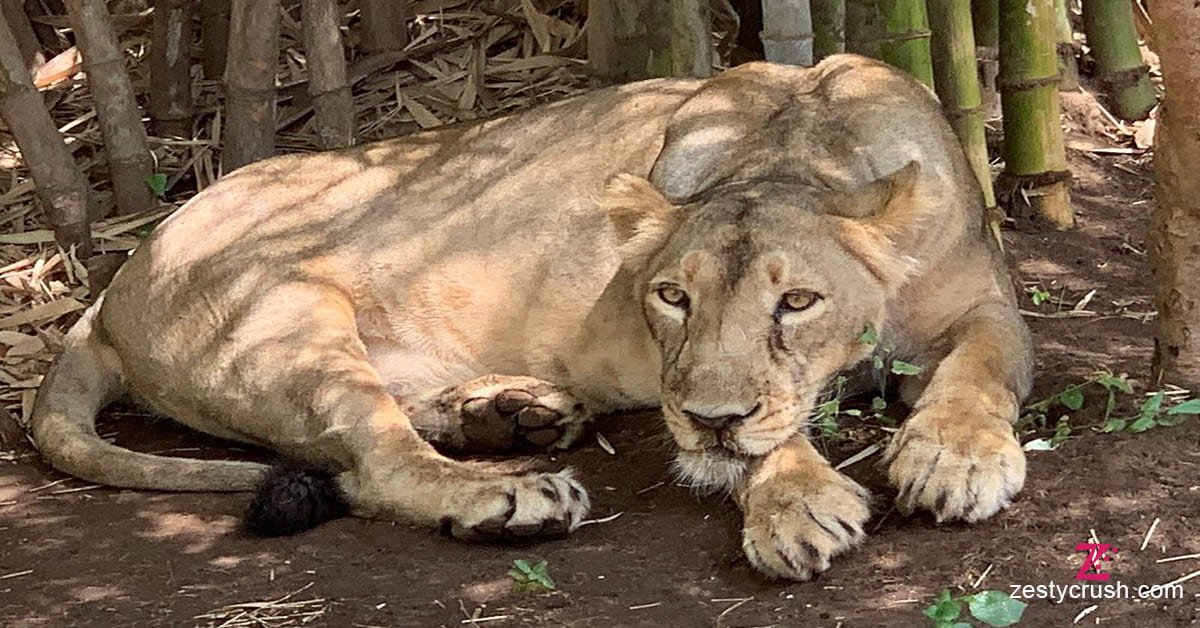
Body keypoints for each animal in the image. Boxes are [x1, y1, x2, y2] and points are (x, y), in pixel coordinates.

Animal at [30, 55, 1032, 580]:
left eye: (798, 301)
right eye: (671, 297)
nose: (708, 419)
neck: (795, 144)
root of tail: (110, 289)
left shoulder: (989, 297)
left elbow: (978, 366)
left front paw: (954, 455)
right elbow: (764, 433)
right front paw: (793, 503)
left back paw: (507, 414)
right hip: (283, 314)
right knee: (372, 462)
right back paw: (508, 493)